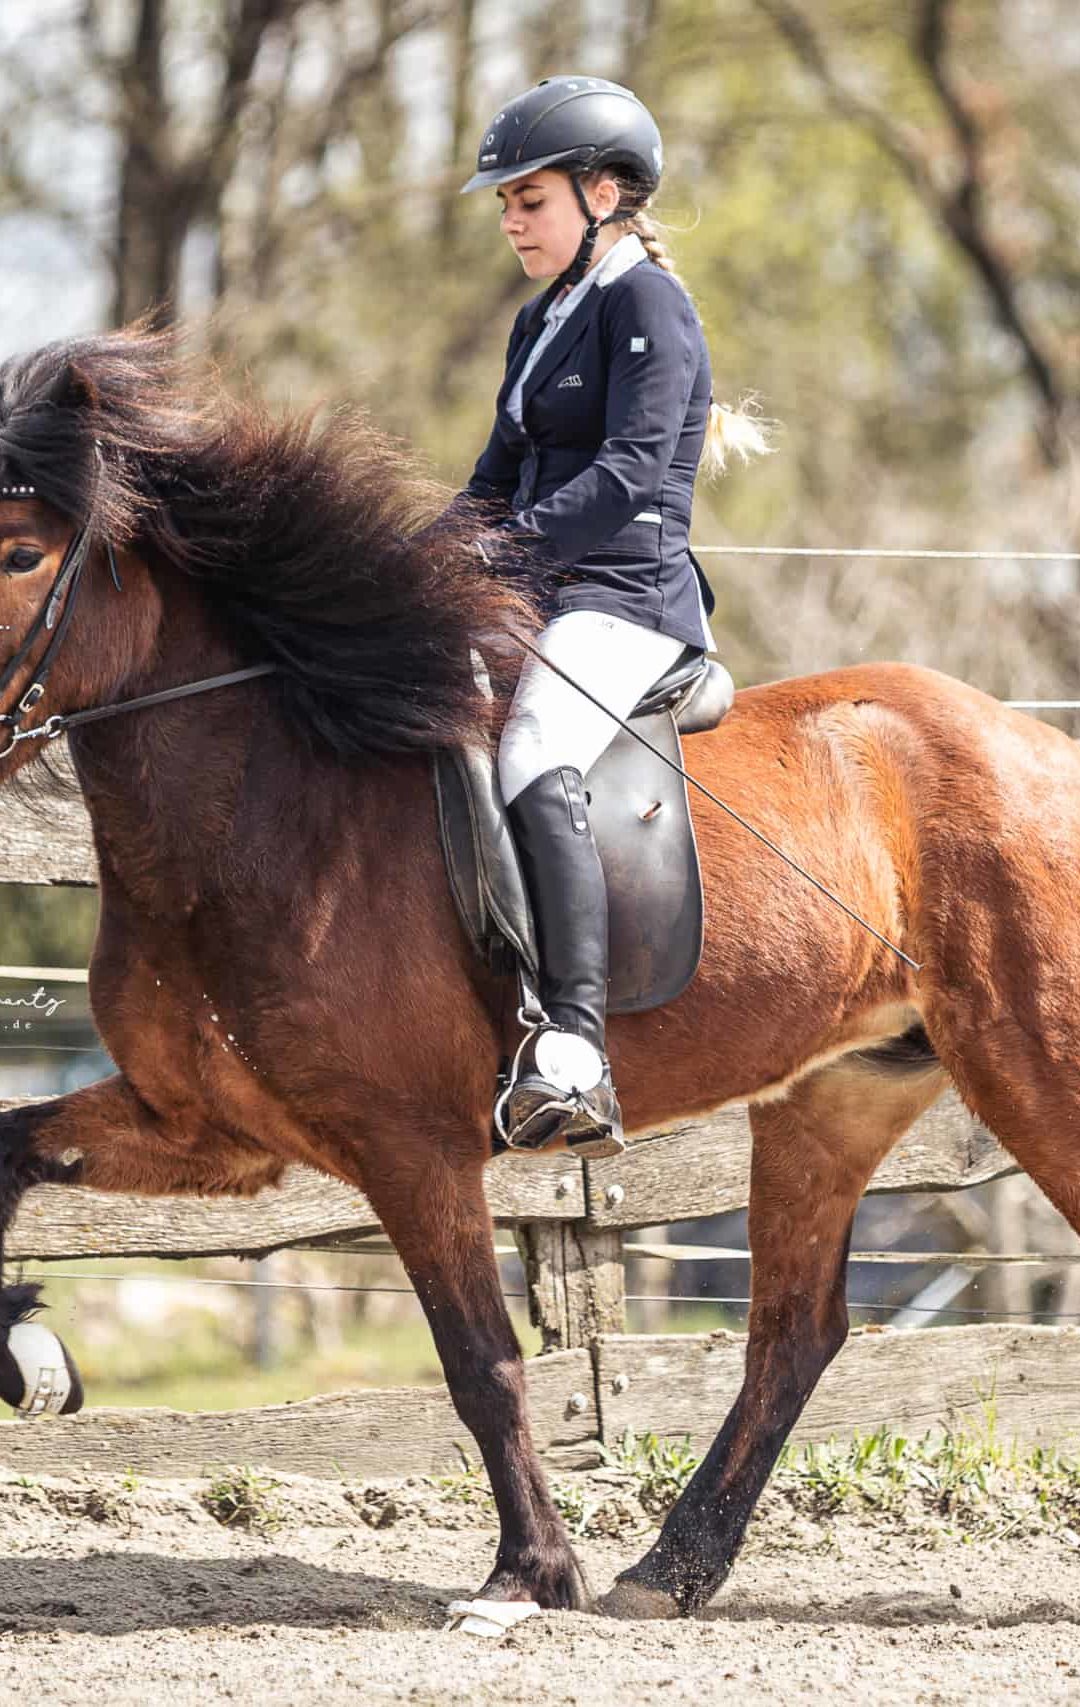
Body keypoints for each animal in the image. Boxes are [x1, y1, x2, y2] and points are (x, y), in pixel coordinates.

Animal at [0, 323, 1079, 1624]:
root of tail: (1040, 745)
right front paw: (28, 1353)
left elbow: (481, 1362)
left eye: (20, 551)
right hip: (839, 1096)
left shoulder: (409, 1147)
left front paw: (527, 1572)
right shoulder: (213, 1133)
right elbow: (5, 1150)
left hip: (1030, 1060)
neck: (265, 806)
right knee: (794, 1331)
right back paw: (669, 1571)